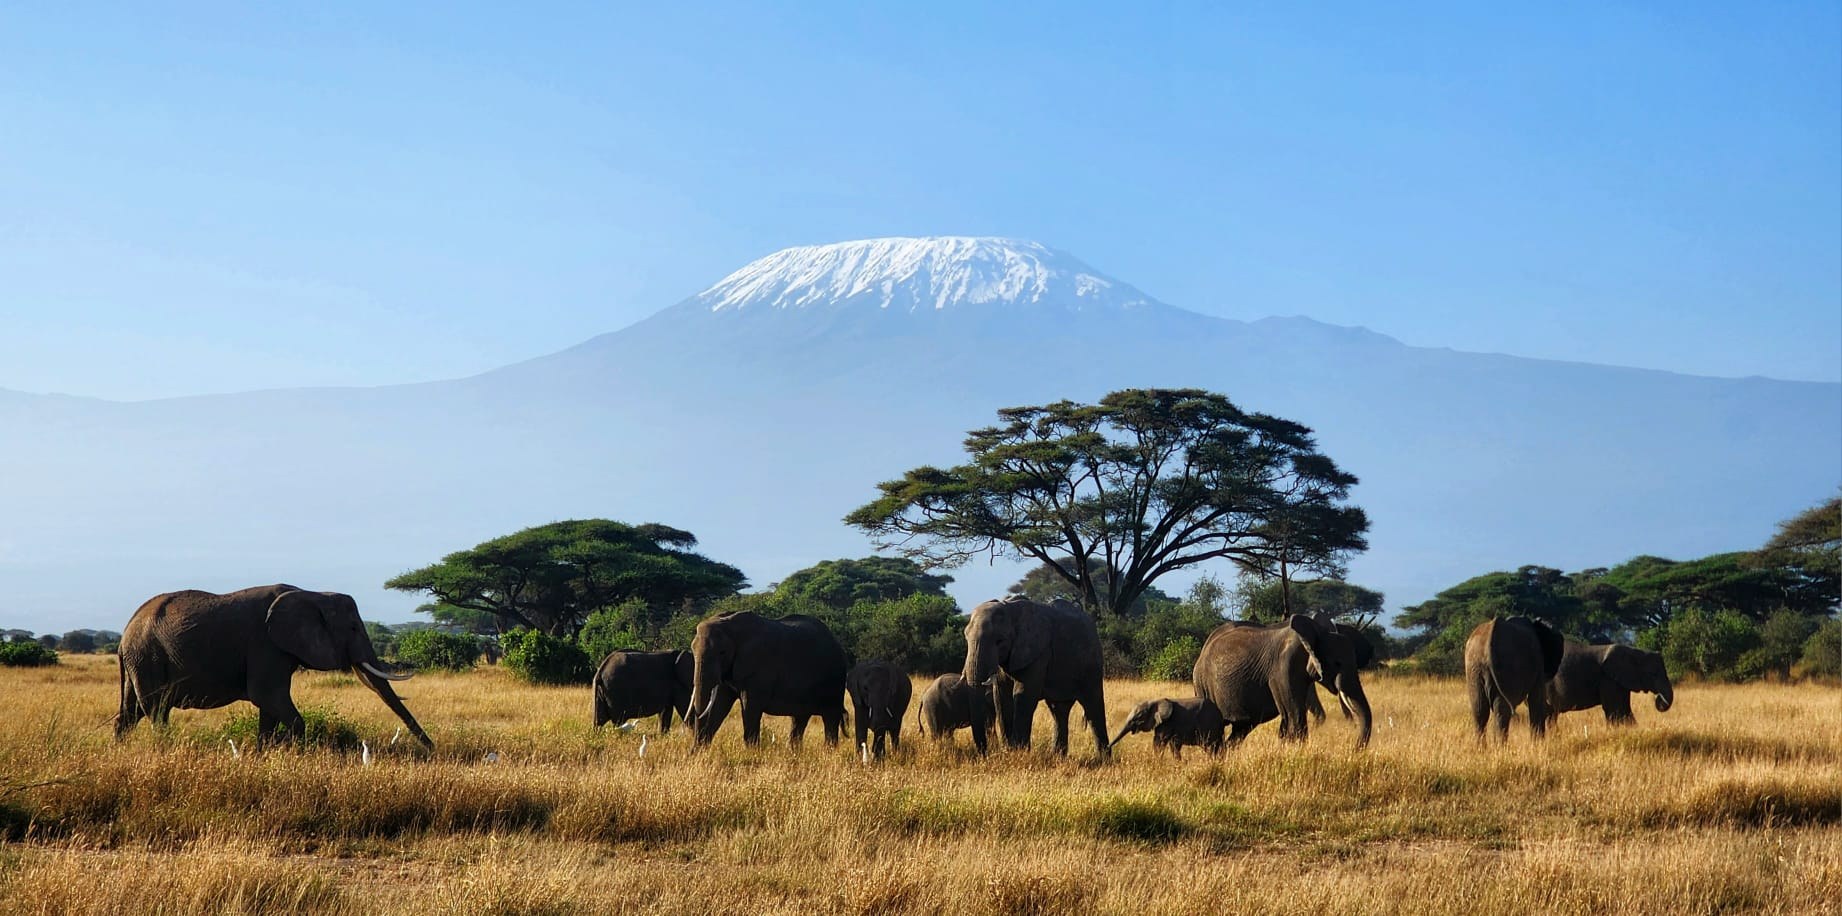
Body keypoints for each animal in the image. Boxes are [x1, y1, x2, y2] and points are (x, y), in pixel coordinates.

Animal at [116, 584, 432, 748]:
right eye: (353, 627)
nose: (432, 750)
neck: (313, 593)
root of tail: (123, 635)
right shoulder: (265, 645)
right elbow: (268, 697)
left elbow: (268, 707)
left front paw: (263, 755)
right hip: (147, 655)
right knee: (156, 710)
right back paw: (165, 749)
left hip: (139, 660)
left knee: (130, 713)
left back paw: (120, 749)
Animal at [687, 611, 848, 748]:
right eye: (692, 650)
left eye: (722, 652)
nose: (692, 750)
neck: (729, 624)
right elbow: (719, 705)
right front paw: (697, 754)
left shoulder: (759, 668)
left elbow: (750, 706)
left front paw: (752, 753)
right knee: (799, 719)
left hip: (835, 681)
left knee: (830, 718)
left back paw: (828, 752)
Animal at [962, 596, 1108, 758]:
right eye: (966, 637)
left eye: (999, 641)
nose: (985, 753)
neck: (1010, 608)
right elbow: (1001, 696)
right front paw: (1008, 751)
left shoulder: (1039, 652)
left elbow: (1023, 694)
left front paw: (1018, 752)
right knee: (1059, 711)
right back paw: (1058, 758)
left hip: (1091, 665)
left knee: (1093, 708)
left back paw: (1102, 760)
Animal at [1192, 612, 1374, 748]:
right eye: (1337, 663)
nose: (1354, 747)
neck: (1312, 634)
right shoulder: (1283, 668)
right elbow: (1295, 718)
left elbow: (1289, 720)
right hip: (1203, 683)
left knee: (1240, 729)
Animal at [1543, 641, 1674, 726]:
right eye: (1653, 674)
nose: (1658, 699)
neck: (1635, 652)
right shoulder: (1608, 679)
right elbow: (1615, 710)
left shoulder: (1619, 681)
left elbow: (1625, 709)